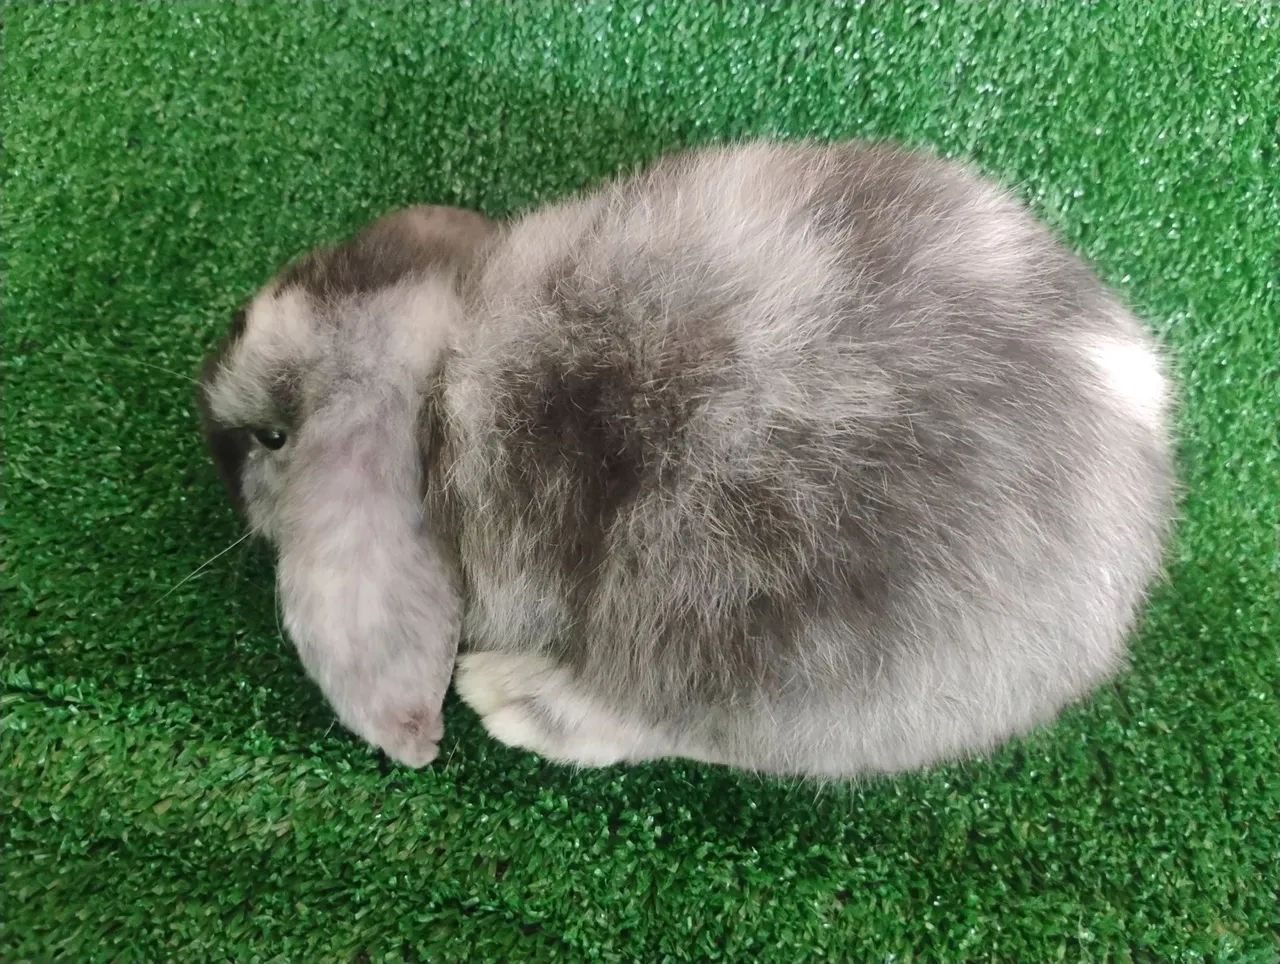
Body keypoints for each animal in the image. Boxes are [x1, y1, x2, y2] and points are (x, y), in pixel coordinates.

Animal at [198, 140, 1174, 776]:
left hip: (734, 638)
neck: (444, 366)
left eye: (270, 437)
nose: (212, 456)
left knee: (648, 721)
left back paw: (506, 696)